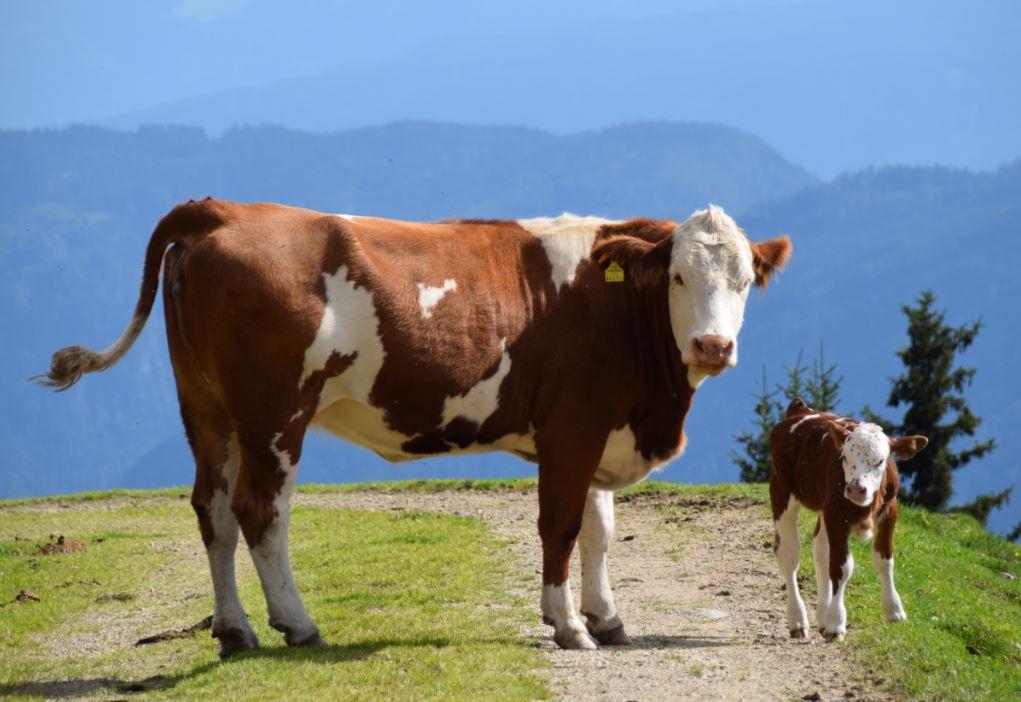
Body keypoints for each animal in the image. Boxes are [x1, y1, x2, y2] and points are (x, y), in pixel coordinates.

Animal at [37, 198, 791, 655]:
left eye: (744, 282)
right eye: (677, 277)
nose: (713, 347)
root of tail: (224, 210)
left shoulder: (601, 424)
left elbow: (599, 529)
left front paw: (606, 617)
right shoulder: (570, 427)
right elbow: (560, 527)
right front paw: (568, 624)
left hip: (205, 408)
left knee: (212, 511)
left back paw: (235, 629)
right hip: (274, 413)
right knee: (260, 511)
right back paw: (297, 624)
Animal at [769, 398, 927, 641]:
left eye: (880, 461)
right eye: (844, 456)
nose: (855, 489)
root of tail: (801, 409)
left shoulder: (890, 511)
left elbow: (884, 559)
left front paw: (894, 610)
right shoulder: (836, 515)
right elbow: (841, 567)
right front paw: (836, 623)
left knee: (820, 549)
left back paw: (822, 615)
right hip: (781, 491)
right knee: (789, 553)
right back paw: (798, 620)